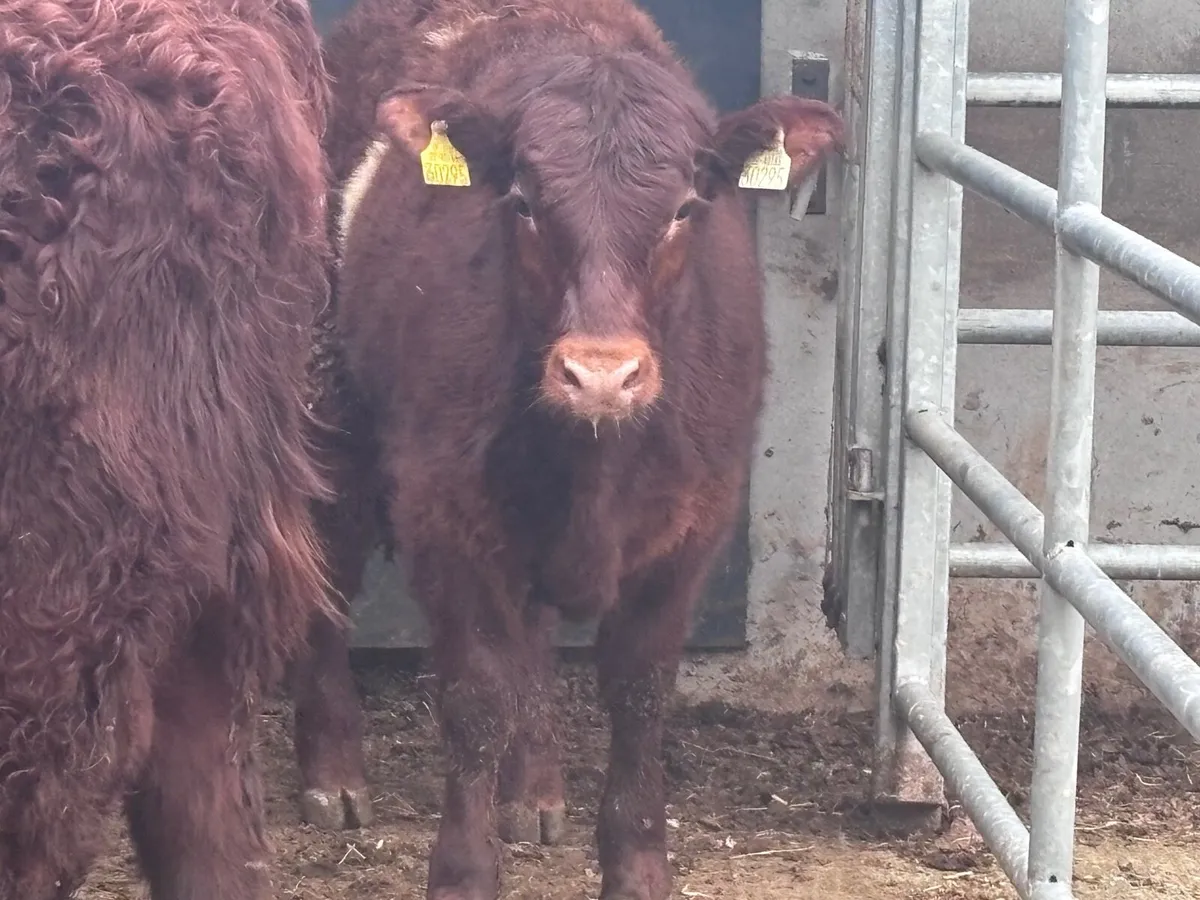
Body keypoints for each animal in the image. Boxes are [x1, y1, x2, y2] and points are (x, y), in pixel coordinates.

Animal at [295, 1, 844, 898]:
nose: (601, 375)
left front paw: (637, 865)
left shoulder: (694, 524)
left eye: (685, 206)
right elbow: (476, 695)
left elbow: (638, 693)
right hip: (330, 409)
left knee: (535, 637)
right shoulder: (444, 512)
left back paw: (536, 788)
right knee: (327, 573)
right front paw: (463, 870)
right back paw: (333, 772)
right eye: (521, 200)